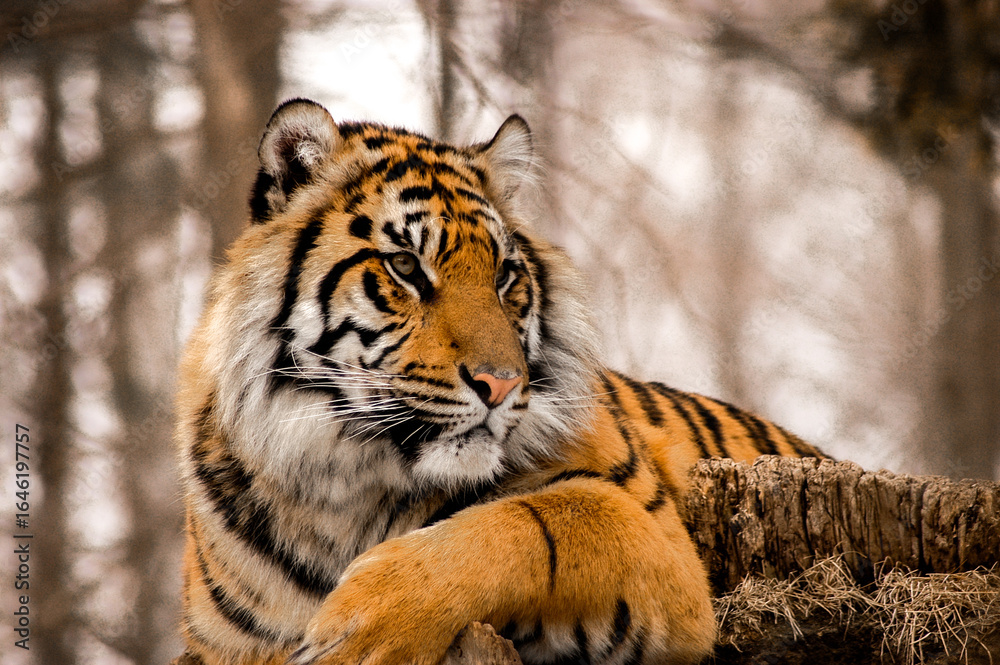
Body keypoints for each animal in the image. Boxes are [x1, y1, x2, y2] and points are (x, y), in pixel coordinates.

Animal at [175, 98, 825, 665]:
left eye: (505, 275)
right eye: (405, 266)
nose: (501, 384)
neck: (347, 489)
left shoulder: (663, 543)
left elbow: (529, 523)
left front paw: (359, 631)